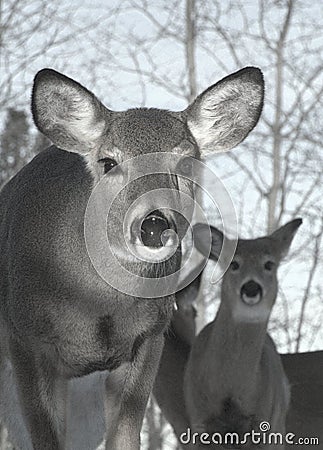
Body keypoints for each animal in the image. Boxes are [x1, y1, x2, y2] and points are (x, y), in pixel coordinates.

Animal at [0, 65, 264, 448]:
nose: (153, 225)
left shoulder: (148, 340)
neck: (94, 306)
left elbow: (125, 437)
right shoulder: (26, 341)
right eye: (108, 162)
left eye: (186, 162)